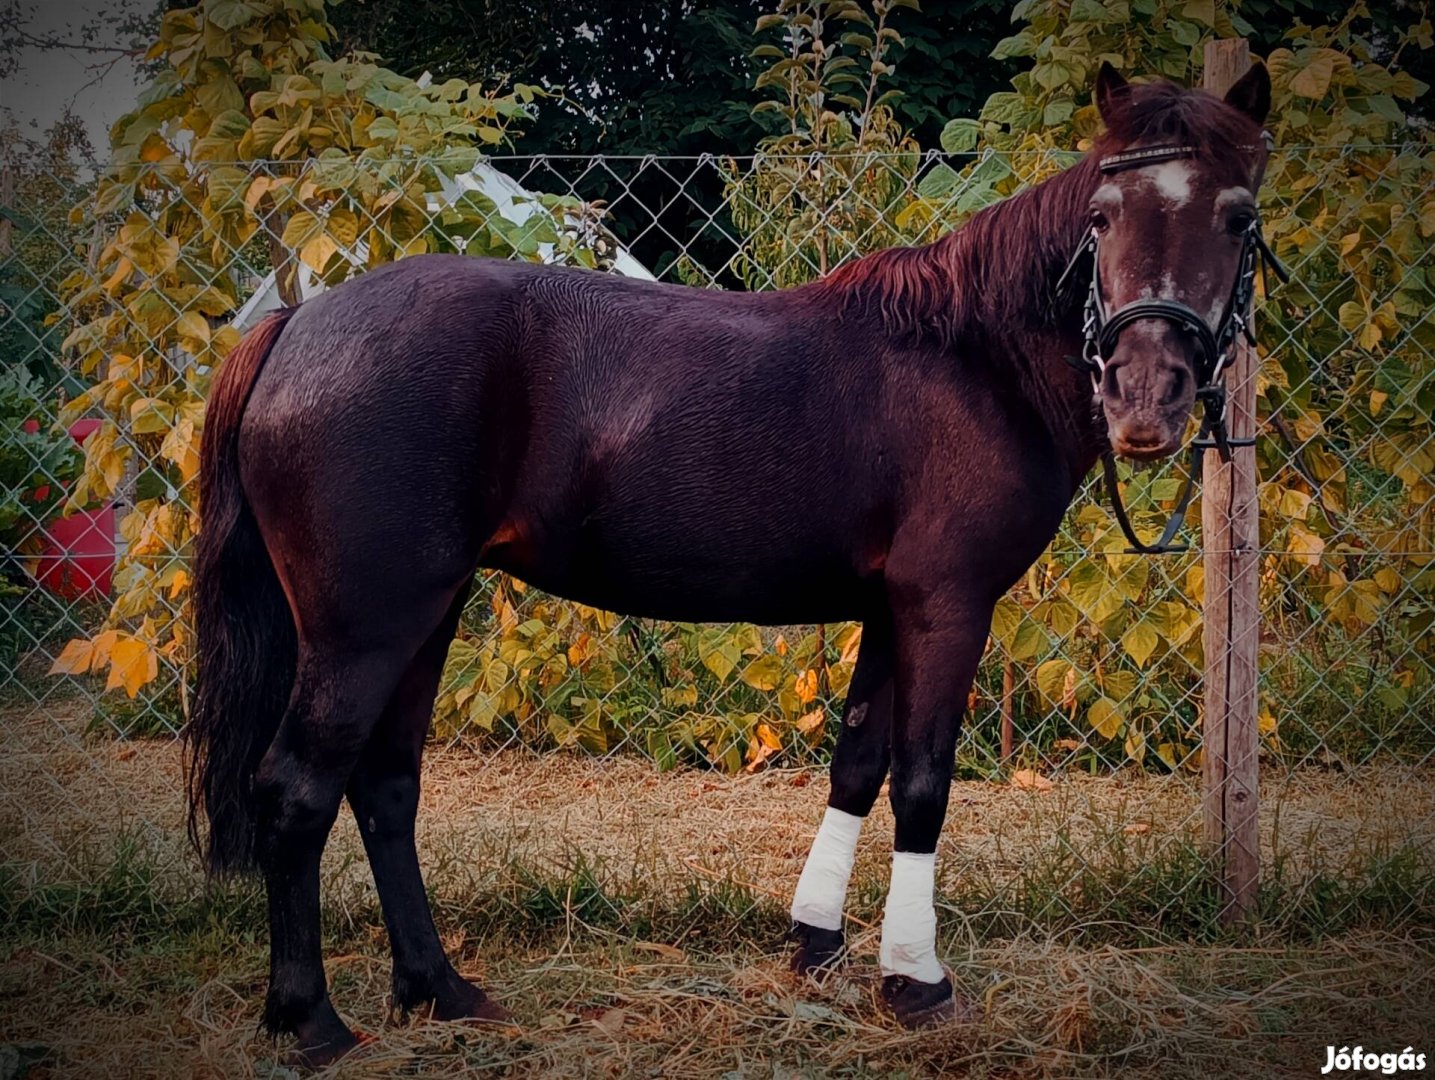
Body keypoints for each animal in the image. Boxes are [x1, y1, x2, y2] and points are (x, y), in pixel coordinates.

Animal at [190, 65, 1280, 1061]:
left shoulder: (889, 607)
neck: (970, 355)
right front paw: (916, 982)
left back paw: (441, 990)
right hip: (365, 627)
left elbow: (857, 765)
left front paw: (815, 947)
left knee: (384, 789)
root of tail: (297, 324)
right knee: (295, 790)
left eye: (1236, 217)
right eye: (1101, 215)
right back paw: (311, 1021)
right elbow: (922, 782)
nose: (1144, 396)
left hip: (429, 612)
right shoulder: (946, 603)